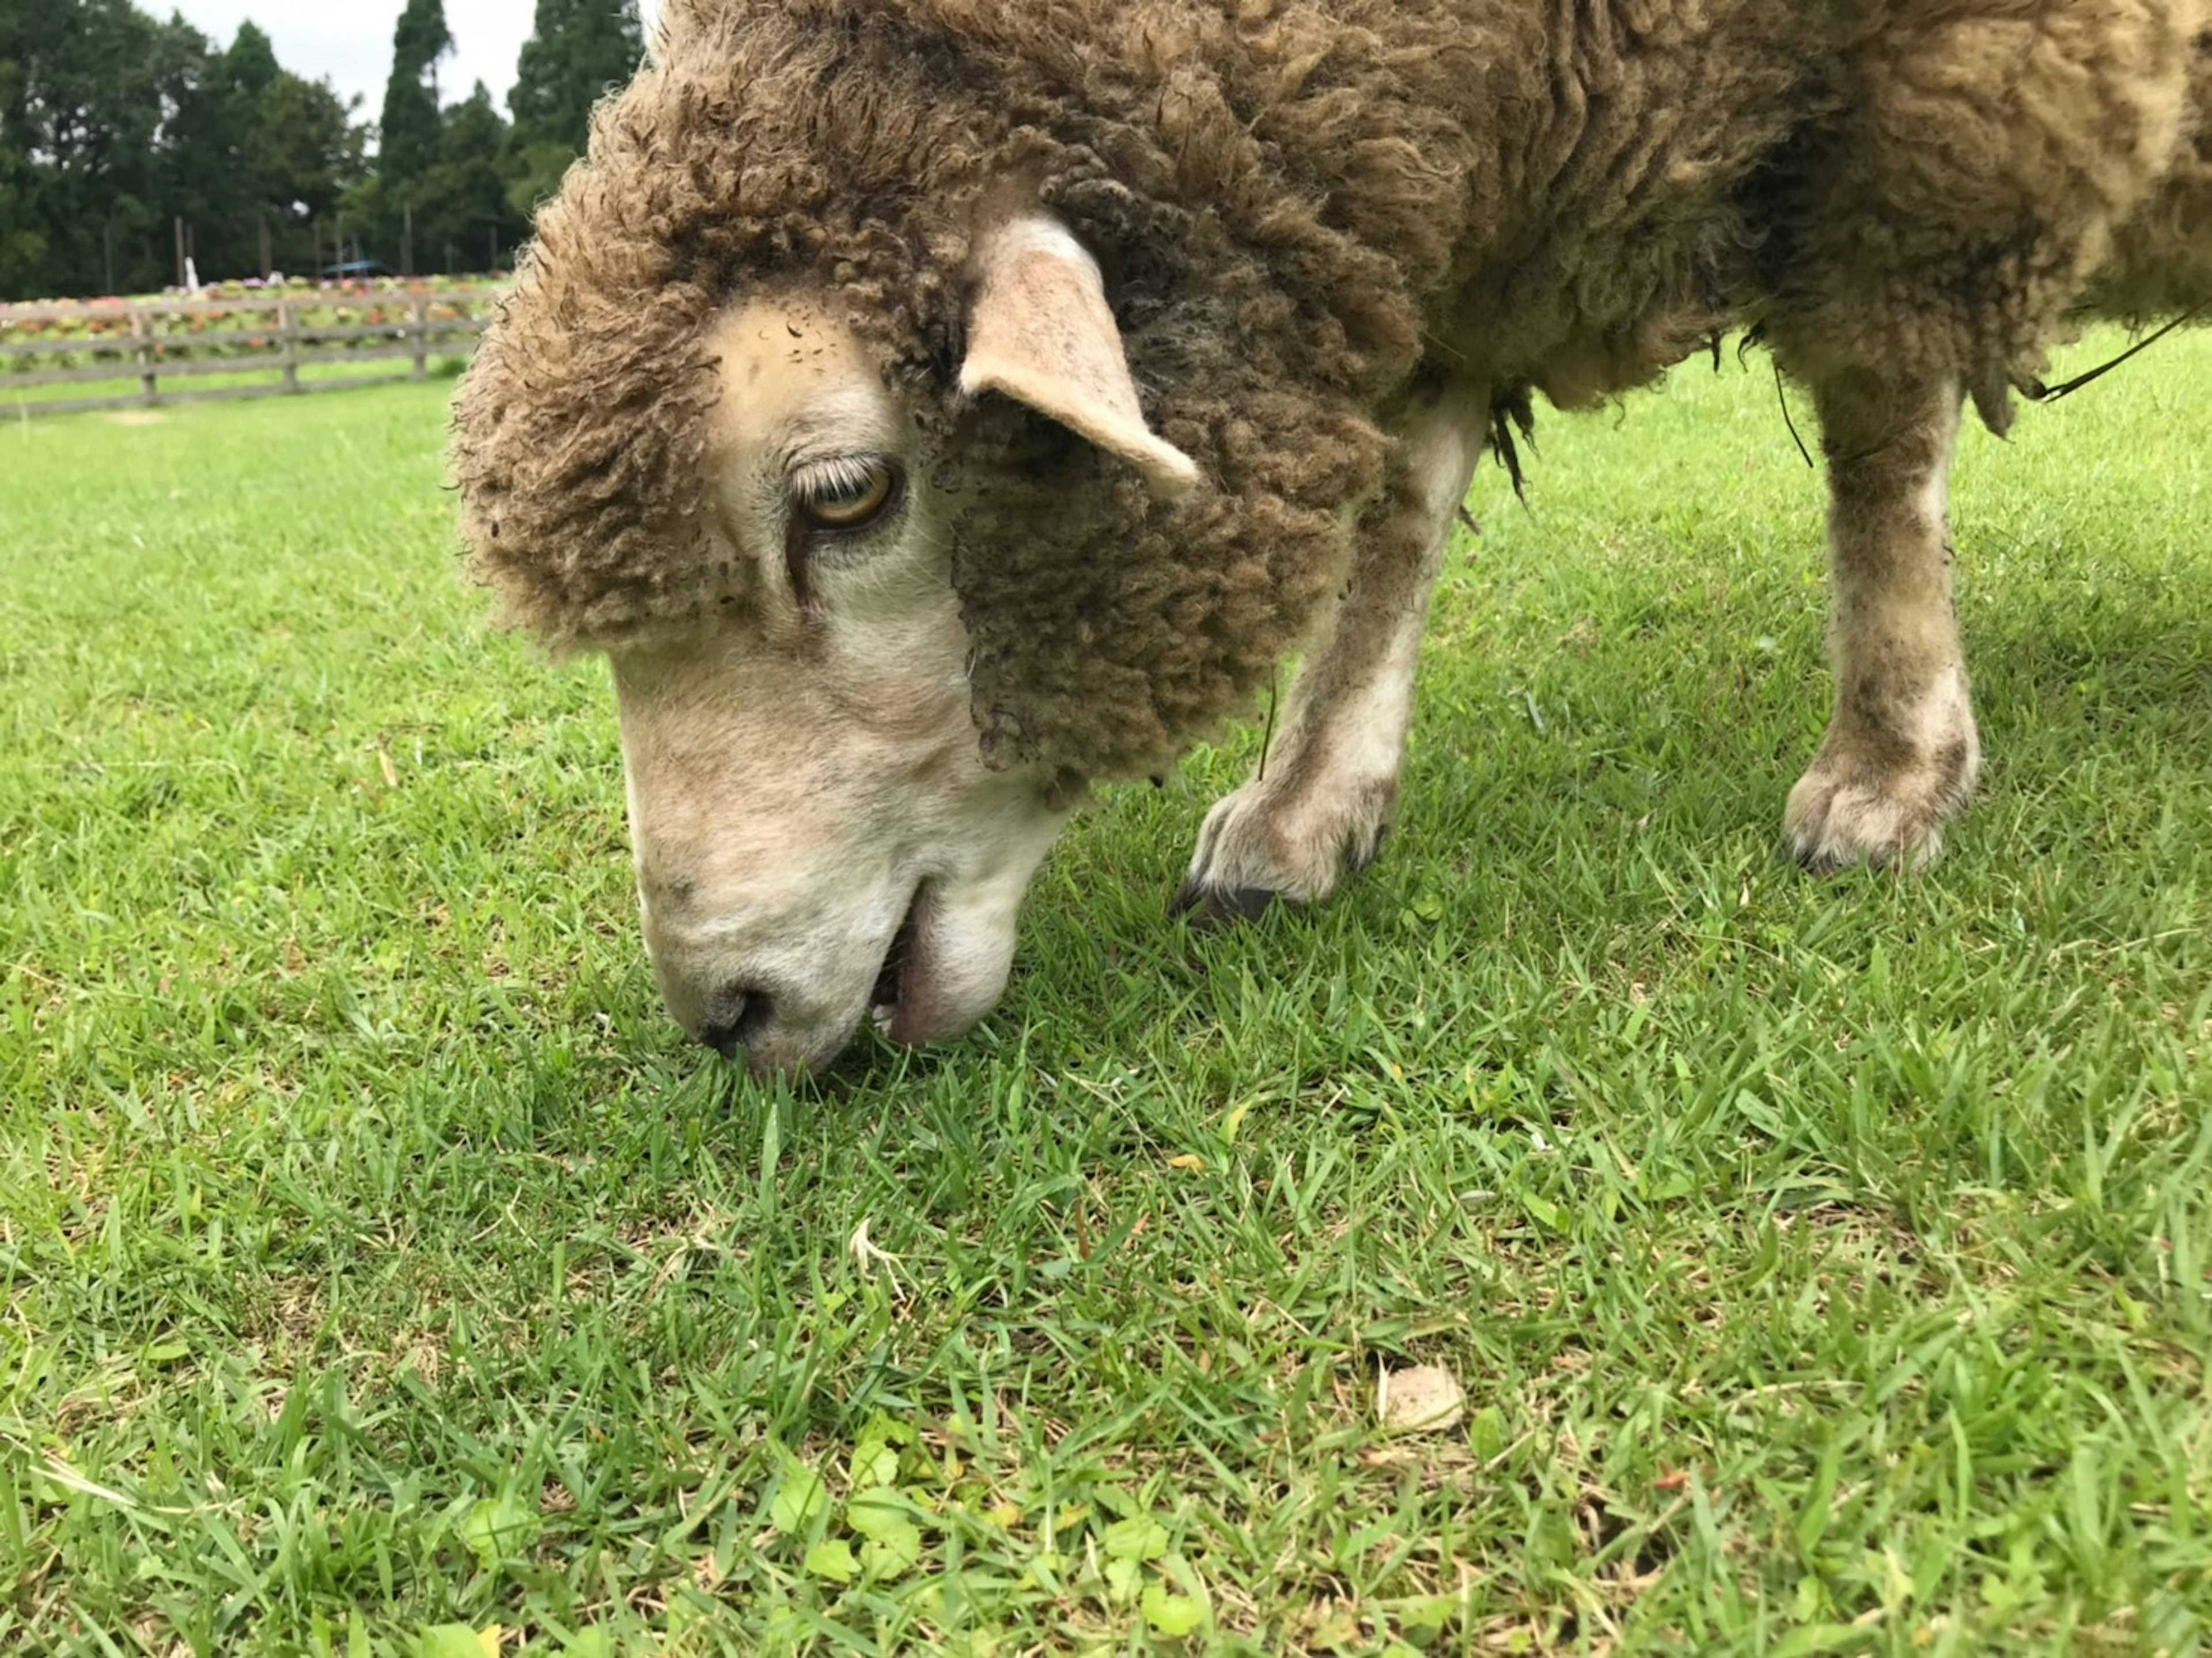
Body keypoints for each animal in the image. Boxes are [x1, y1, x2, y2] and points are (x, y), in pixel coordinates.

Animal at [453, 0, 2212, 1079]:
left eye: (842, 498)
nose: (723, 1009)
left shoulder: (1953, 94)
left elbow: (1876, 432)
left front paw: (1891, 762)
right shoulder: (1451, 201)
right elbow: (1399, 519)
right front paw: (1304, 807)